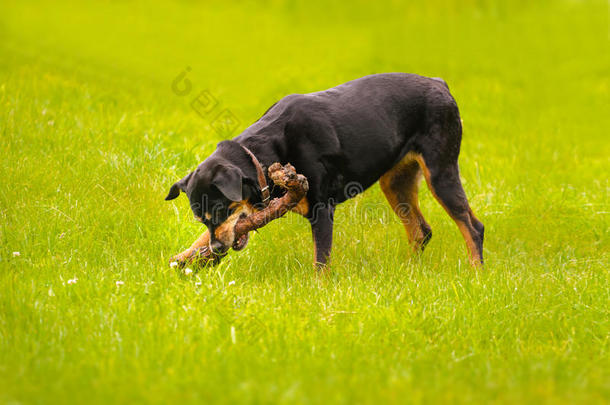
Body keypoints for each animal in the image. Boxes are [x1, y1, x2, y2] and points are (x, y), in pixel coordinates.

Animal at [164, 73, 482, 266]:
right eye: (201, 219)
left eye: (223, 210)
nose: (218, 248)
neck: (266, 152)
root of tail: (440, 84)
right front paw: (183, 258)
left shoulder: (321, 208)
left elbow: (321, 263)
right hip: (395, 182)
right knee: (420, 232)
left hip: (440, 172)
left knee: (473, 228)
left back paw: (475, 275)